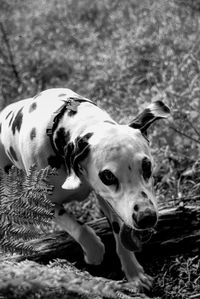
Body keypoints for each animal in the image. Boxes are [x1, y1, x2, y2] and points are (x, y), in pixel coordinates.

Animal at [0, 88, 170, 290]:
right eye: (108, 176)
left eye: (147, 166)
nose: (146, 217)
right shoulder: (45, 202)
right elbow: (77, 227)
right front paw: (93, 251)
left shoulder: (107, 198)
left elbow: (120, 234)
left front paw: (134, 273)